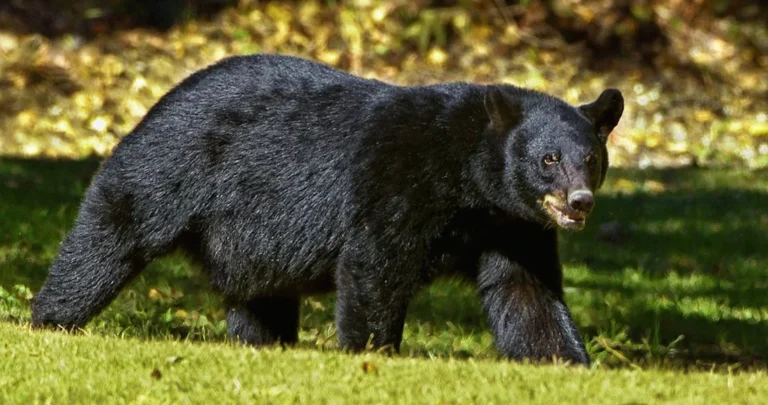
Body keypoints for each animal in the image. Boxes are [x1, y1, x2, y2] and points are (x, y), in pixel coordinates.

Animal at [31, 54, 623, 365]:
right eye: (548, 159)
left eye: (590, 159)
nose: (579, 201)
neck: (468, 181)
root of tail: (163, 97)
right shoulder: (398, 180)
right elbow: (375, 265)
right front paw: (372, 354)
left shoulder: (511, 224)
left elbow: (526, 291)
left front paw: (566, 362)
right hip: (170, 166)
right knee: (112, 234)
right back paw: (51, 319)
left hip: (250, 240)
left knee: (259, 297)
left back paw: (264, 344)